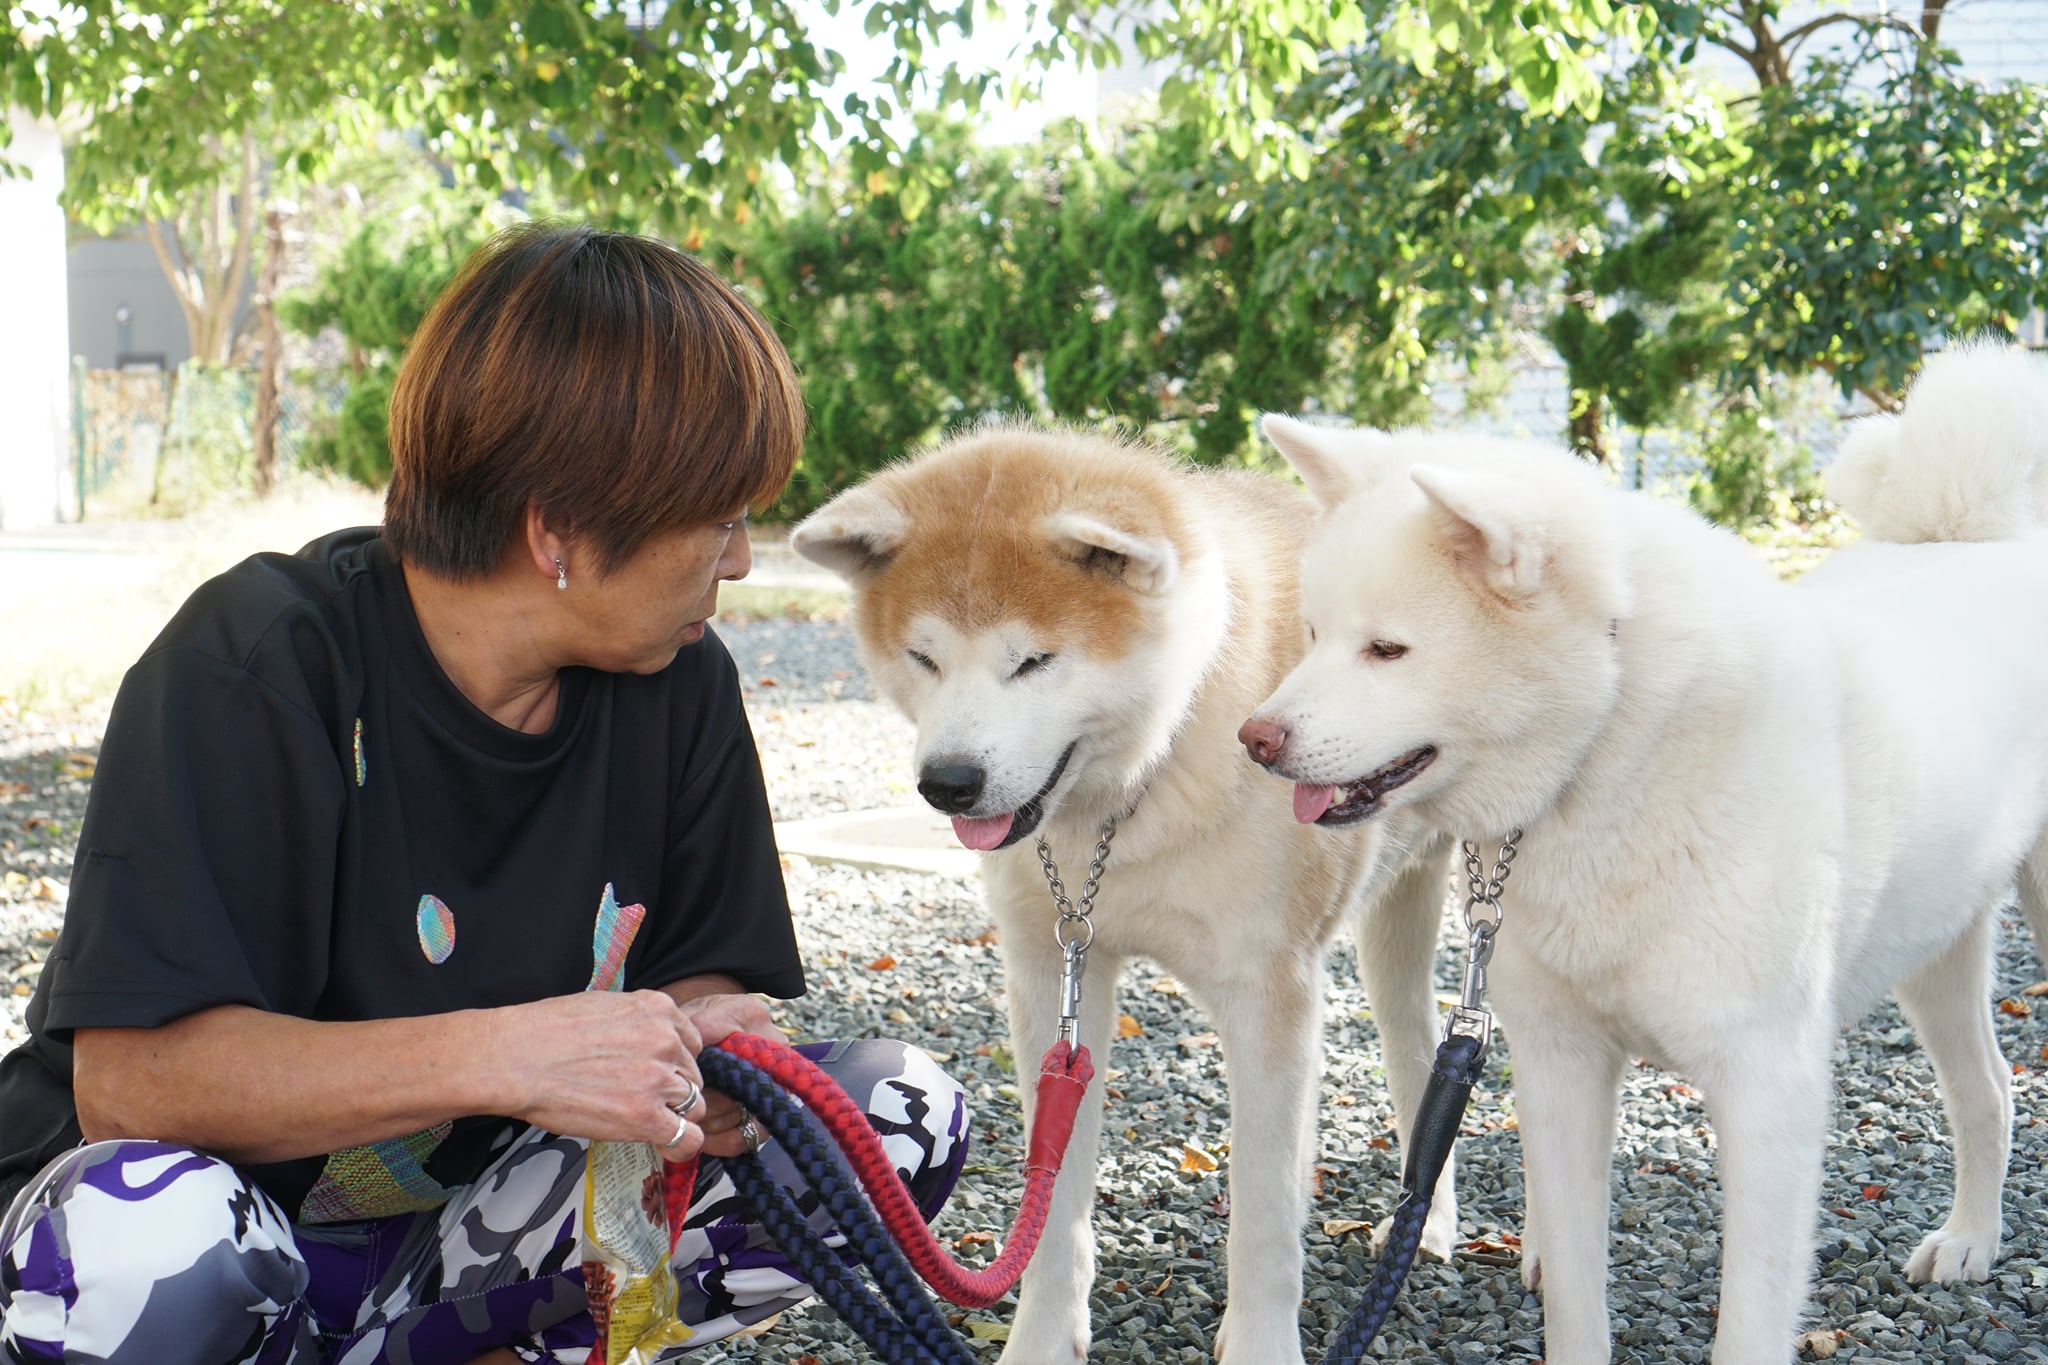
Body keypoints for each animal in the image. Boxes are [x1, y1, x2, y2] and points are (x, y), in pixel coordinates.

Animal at [786, 427, 1458, 1365]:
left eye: (1033, 661)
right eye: (924, 657)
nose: (948, 782)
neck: (1142, 782)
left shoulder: (1269, 991)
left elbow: (1260, 1210)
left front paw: (1261, 1340)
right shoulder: (1057, 978)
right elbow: (1056, 1200)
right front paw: (1040, 1341)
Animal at [1236, 343, 2048, 1365]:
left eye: (1387, 649)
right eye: (1312, 633)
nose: (1253, 738)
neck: (1610, 735)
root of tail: (1982, 539)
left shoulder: (1766, 1089)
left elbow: (1748, 1321)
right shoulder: (1561, 1067)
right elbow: (1577, 1300)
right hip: (1940, 946)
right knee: (1990, 1089)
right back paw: (1972, 1240)